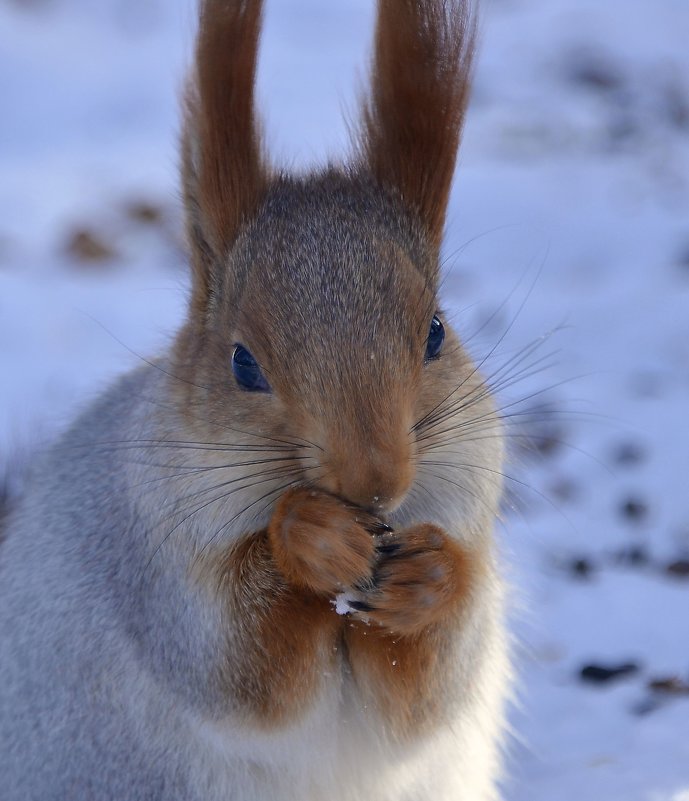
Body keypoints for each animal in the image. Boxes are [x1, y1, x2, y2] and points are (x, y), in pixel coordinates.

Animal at [1, 1, 510, 800]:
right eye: (243, 362)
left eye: (436, 332)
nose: (375, 479)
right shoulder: (156, 567)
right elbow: (242, 664)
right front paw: (307, 537)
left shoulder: (466, 509)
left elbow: (424, 691)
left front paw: (428, 579)